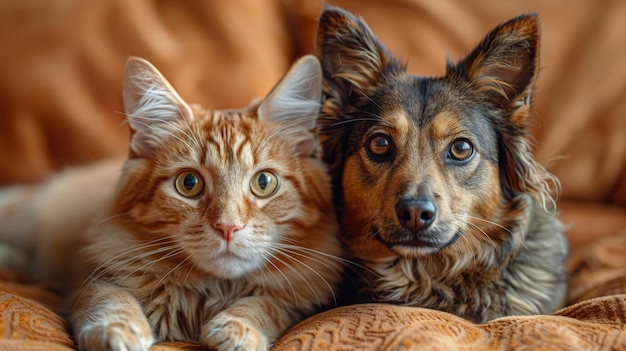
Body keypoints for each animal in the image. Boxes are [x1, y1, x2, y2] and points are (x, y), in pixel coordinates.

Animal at [0, 53, 342, 350]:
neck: (210, 291)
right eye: (189, 184)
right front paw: (118, 330)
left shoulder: (301, 298)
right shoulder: (94, 275)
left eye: (264, 183)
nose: (228, 228)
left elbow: (265, 304)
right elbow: (110, 300)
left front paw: (237, 328)